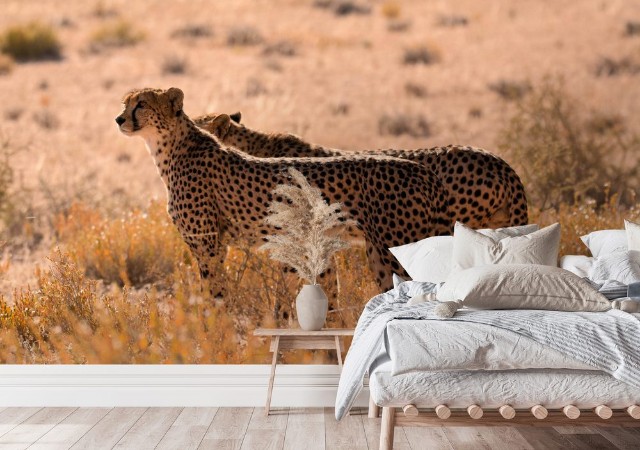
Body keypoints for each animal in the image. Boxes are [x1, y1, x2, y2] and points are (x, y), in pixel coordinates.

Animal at [116, 88, 452, 292]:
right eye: (125, 103)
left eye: (141, 104)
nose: (119, 119)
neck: (170, 147)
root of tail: (423, 170)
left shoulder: (208, 245)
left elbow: (215, 295)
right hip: (381, 256)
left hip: (396, 249)